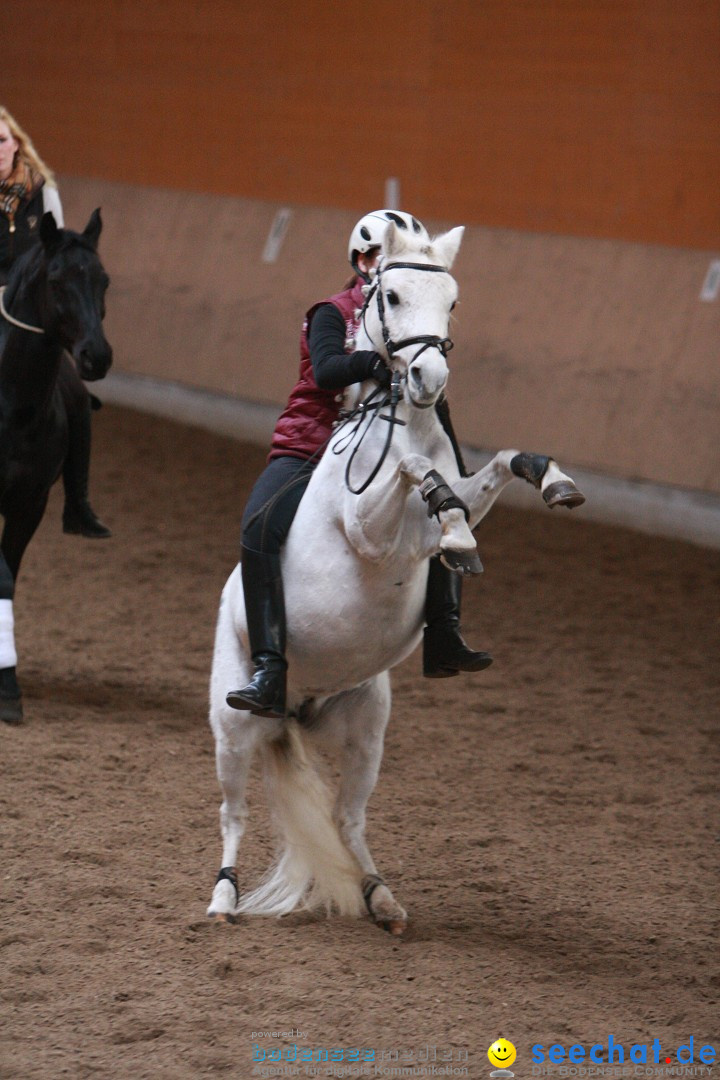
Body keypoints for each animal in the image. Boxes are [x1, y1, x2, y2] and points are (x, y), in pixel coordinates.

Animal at [204, 217, 587, 928]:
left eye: (453, 302)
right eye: (391, 296)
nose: (429, 378)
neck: (399, 417)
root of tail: (291, 706)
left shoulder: (435, 523)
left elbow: (494, 470)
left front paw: (550, 484)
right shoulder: (369, 531)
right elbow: (417, 471)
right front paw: (452, 516)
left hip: (365, 731)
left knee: (346, 819)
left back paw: (381, 897)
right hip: (234, 725)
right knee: (233, 811)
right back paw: (222, 898)